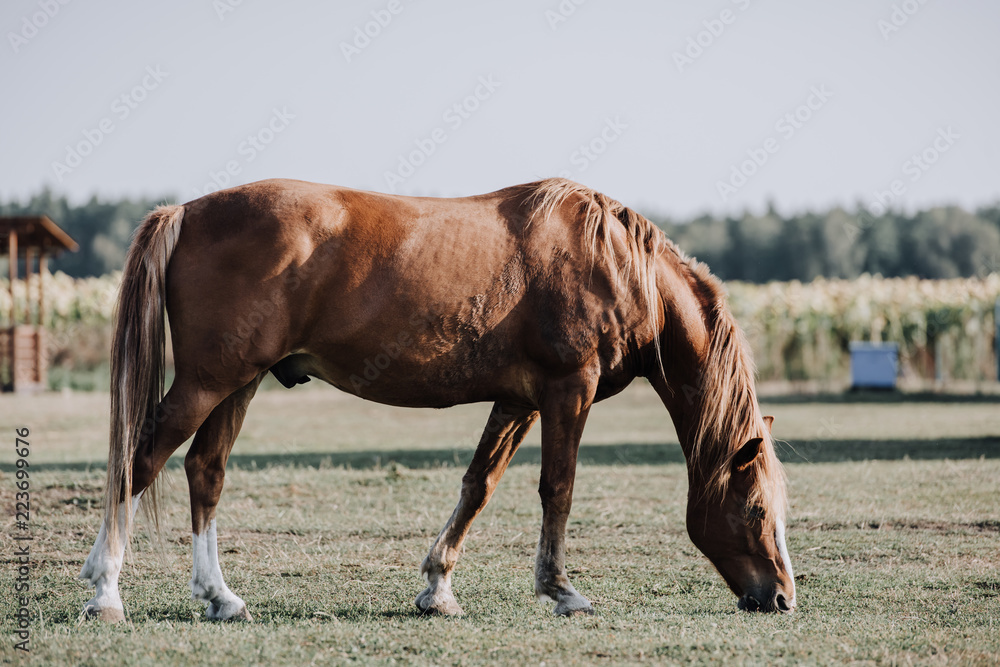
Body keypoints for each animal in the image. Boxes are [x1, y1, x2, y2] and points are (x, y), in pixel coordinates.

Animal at [79, 177, 795, 621]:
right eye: (757, 510)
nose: (782, 597)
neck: (616, 266)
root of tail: (186, 212)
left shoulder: (518, 401)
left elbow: (478, 485)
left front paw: (438, 586)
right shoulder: (569, 390)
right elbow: (558, 489)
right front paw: (562, 590)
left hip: (239, 382)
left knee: (205, 471)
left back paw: (219, 596)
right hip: (209, 381)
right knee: (140, 463)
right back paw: (107, 592)